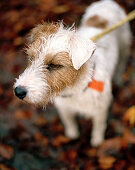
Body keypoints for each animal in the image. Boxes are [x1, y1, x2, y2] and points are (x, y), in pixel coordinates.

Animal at [13, 0, 131, 146]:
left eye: (55, 65)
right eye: (31, 58)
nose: (18, 91)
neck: (75, 91)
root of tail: (107, 2)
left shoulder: (100, 111)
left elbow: (98, 128)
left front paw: (97, 142)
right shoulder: (64, 108)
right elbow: (69, 123)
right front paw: (72, 135)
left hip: (125, 44)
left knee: (123, 60)